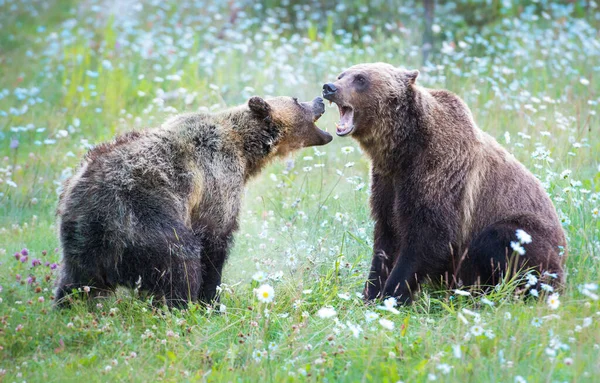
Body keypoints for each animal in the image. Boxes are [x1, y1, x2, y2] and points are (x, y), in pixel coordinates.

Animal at [55, 96, 332, 308]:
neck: (245, 149)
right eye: (296, 100)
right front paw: (211, 300)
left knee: (75, 283)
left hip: (81, 240)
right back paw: (181, 306)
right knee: (180, 262)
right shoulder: (216, 182)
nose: (319, 99)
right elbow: (214, 242)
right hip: (145, 219)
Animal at [322, 62, 564, 304]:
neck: (402, 150)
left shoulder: (439, 174)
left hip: (531, 236)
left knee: (500, 239)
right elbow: (386, 237)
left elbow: (427, 239)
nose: (329, 87)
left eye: (360, 78)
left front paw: (392, 295)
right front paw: (370, 293)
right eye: (342, 75)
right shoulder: (387, 183)